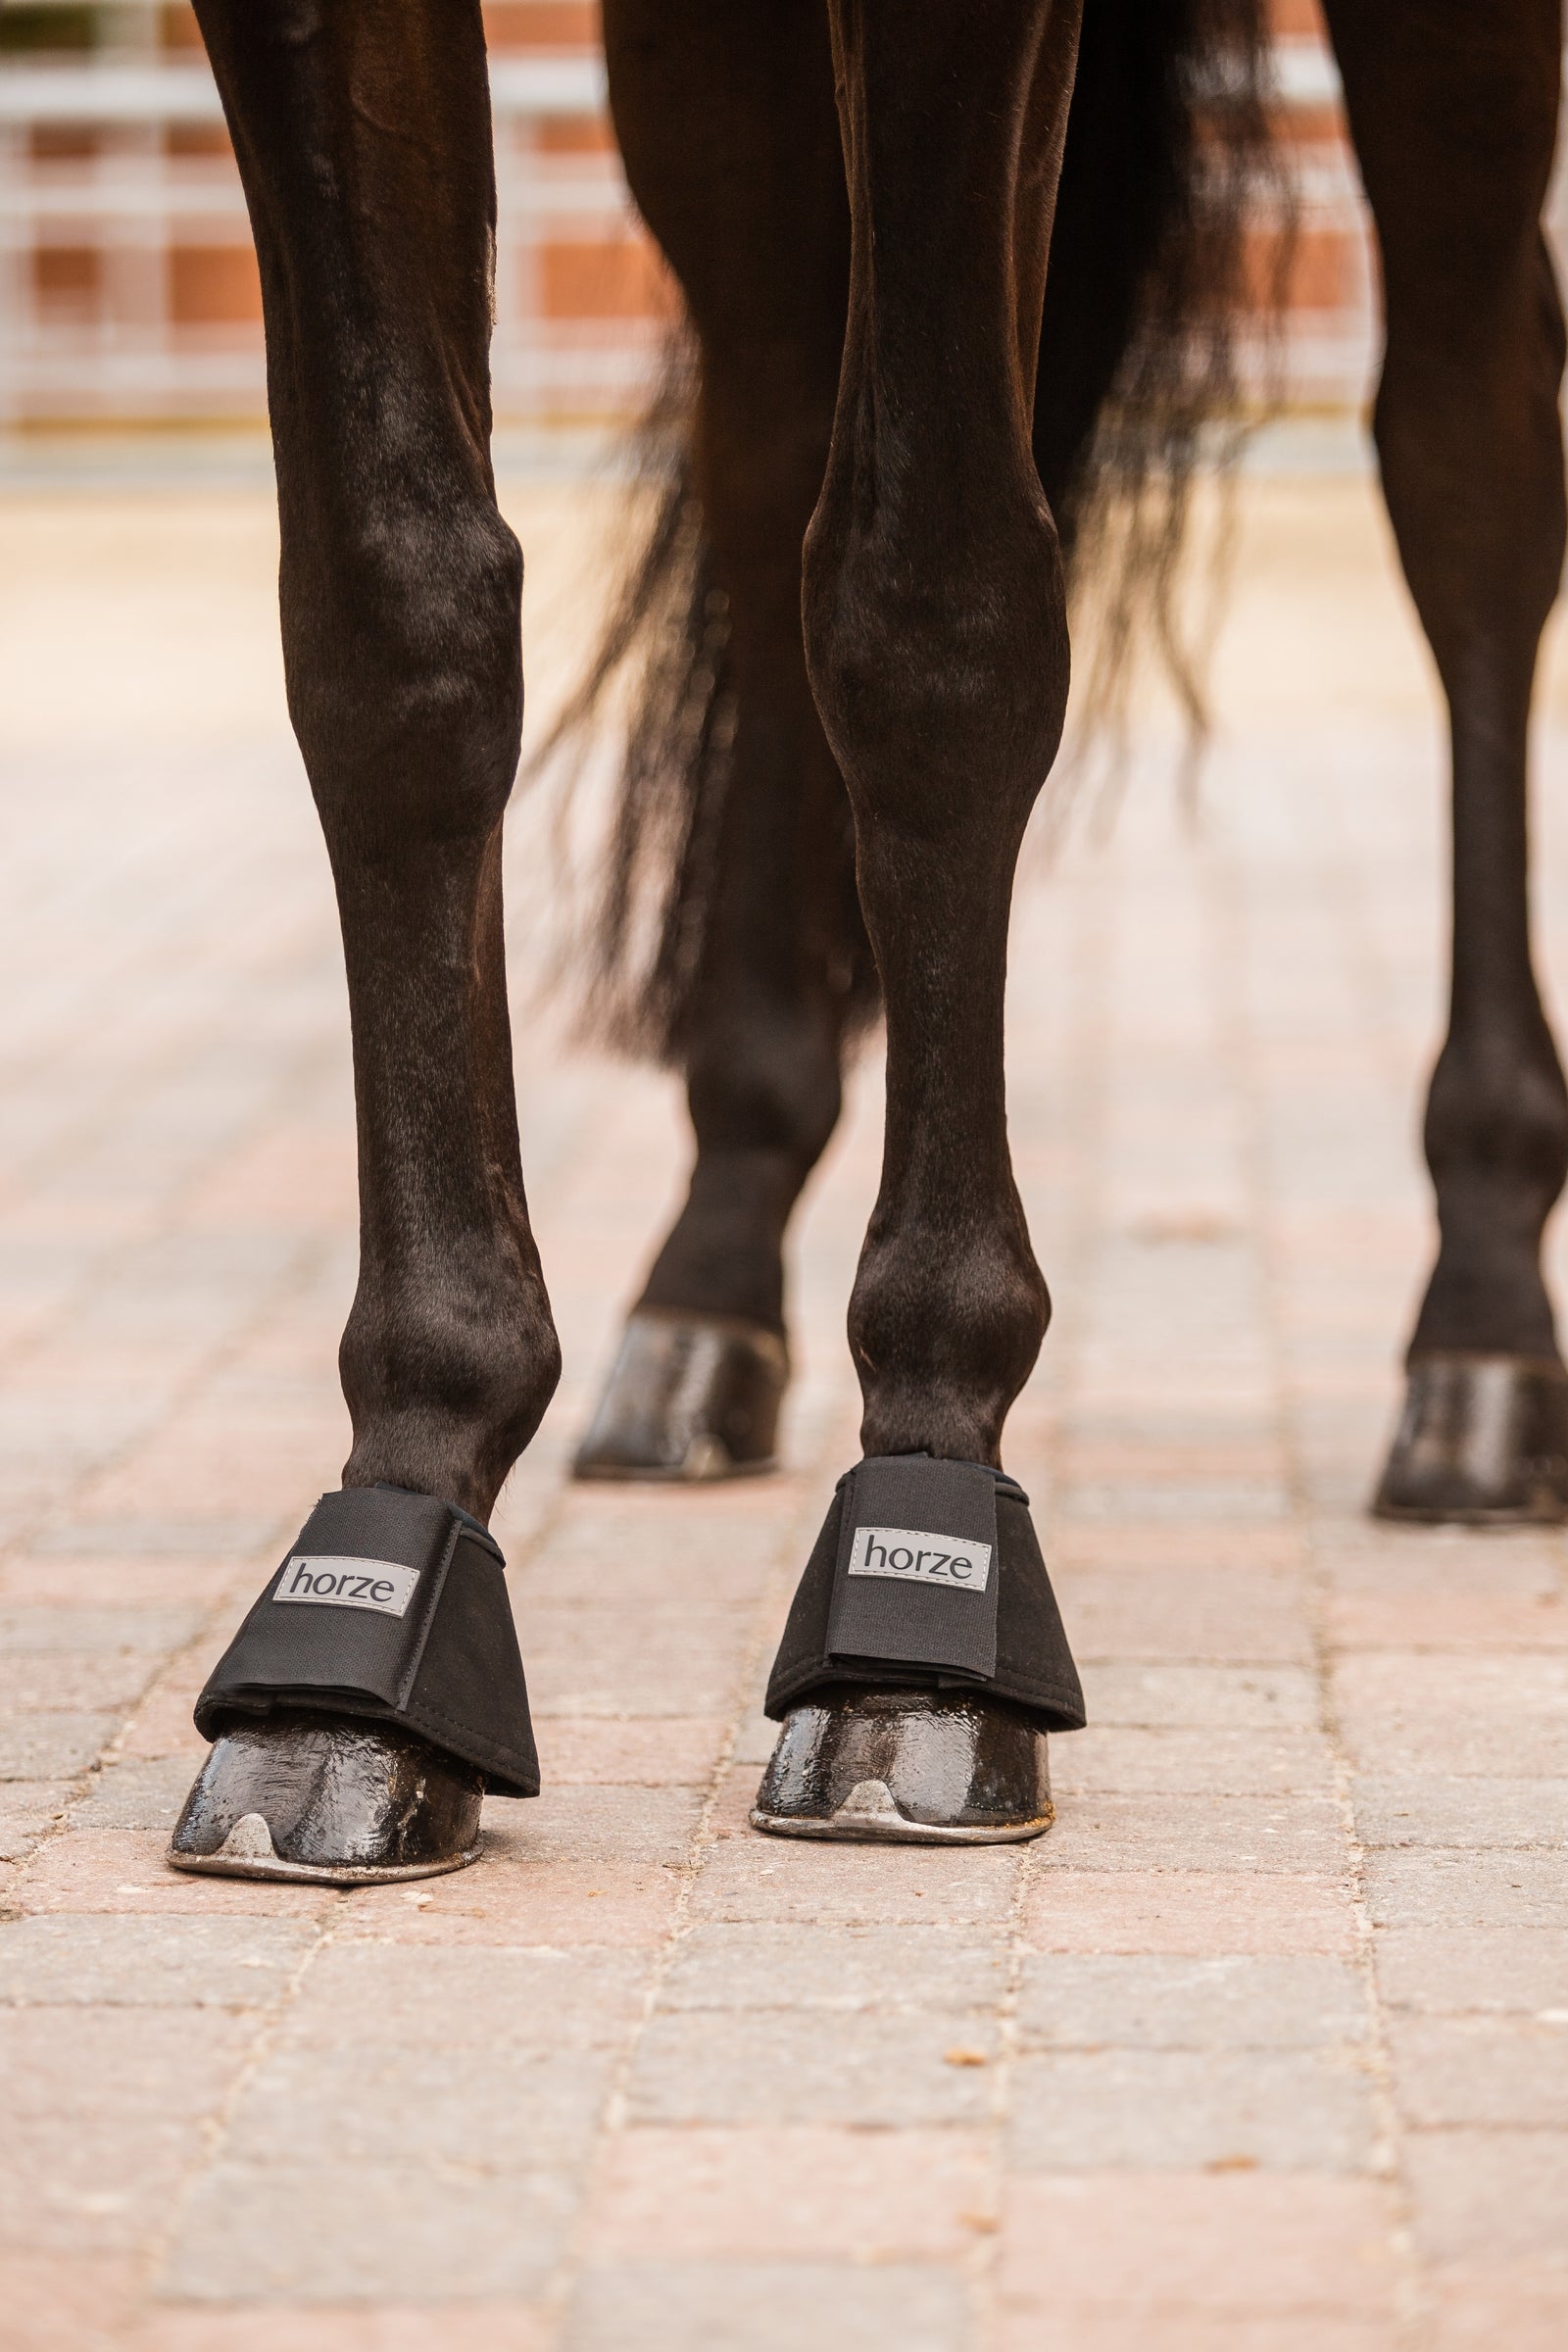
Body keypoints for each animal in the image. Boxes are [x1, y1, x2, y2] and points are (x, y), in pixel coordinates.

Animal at [165, 0, 1568, 1884]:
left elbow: (935, 609)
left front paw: (918, 1611)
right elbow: (394, 628)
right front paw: (373, 1607)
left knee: (1468, 456)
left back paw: (1483, 1328)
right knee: (766, 441)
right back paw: (707, 1281)